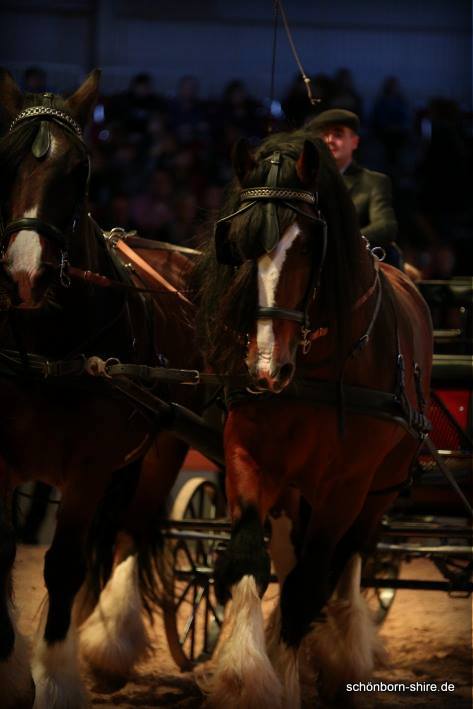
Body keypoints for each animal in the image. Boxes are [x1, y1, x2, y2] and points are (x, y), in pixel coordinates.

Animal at [0, 69, 200, 708]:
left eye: (81, 171)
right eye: (5, 160)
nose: (24, 274)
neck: (51, 348)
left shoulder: (87, 467)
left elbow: (63, 565)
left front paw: (55, 678)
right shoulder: (1, 459)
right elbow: (3, 554)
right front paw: (8, 670)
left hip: (165, 445)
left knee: (131, 531)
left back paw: (112, 644)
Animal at [195, 131, 433, 707]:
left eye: (307, 246)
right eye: (237, 243)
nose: (265, 367)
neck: (315, 370)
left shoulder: (346, 486)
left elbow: (309, 583)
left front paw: (289, 677)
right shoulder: (249, 458)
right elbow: (249, 560)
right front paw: (244, 677)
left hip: (380, 490)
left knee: (345, 561)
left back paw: (340, 656)